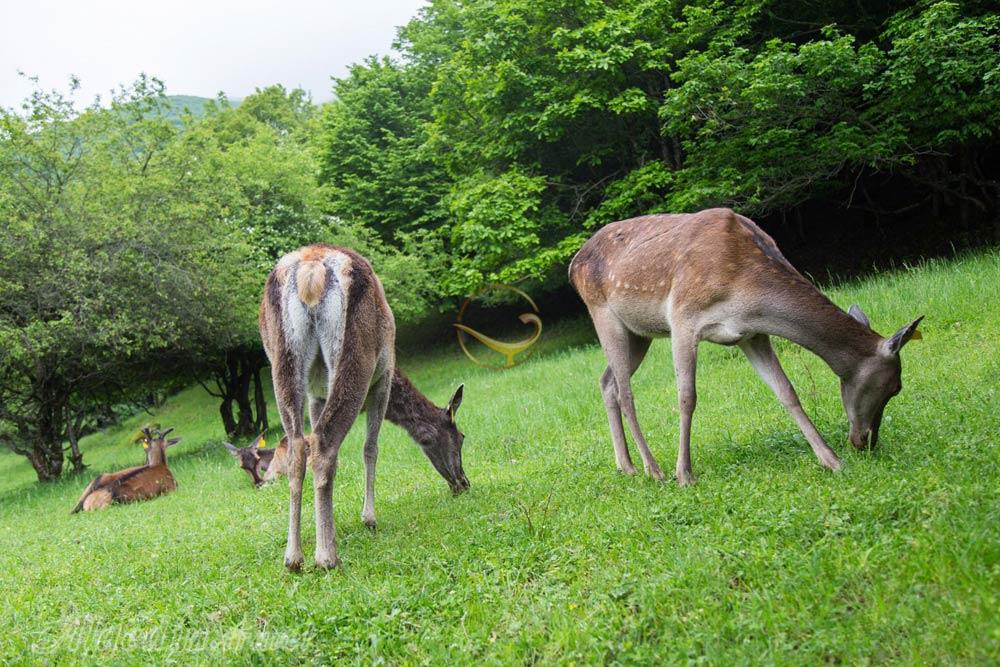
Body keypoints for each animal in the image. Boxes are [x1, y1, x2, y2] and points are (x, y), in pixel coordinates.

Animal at [260, 247, 466, 576]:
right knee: (325, 443)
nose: (463, 483)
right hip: (357, 353)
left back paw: (294, 558)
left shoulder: (317, 394)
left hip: (282, 359)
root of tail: (310, 274)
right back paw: (327, 557)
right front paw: (369, 518)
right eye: (461, 438)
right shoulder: (383, 379)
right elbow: (371, 448)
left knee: (298, 447)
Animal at [572, 209, 920, 486]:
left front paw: (830, 460)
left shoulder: (751, 334)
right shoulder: (683, 316)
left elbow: (787, 391)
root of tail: (572, 264)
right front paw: (685, 474)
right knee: (626, 392)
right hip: (603, 314)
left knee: (607, 381)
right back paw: (653, 469)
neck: (747, 290)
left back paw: (626, 466)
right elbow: (687, 397)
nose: (866, 441)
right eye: (896, 387)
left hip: (639, 333)